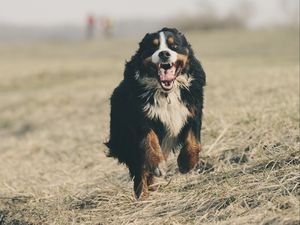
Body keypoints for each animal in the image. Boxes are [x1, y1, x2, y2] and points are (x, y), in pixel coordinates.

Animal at [105, 27, 206, 199]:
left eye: (174, 46)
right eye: (153, 47)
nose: (164, 53)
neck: (167, 93)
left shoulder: (193, 111)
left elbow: (194, 142)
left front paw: (186, 163)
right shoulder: (140, 118)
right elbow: (149, 141)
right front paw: (158, 165)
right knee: (140, 170)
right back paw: (143, 194)